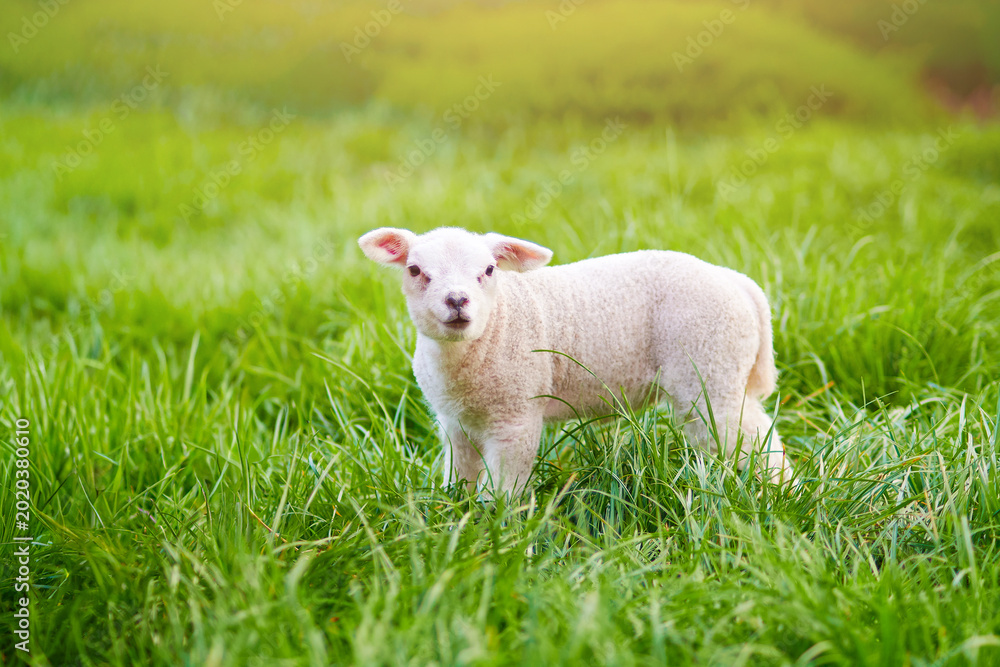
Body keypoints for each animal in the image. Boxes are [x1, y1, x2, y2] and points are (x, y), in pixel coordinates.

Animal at [359, 226, 793, 495]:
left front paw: (500, 529)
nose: (457, 301)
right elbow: (460, 477)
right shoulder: (454, 423)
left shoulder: (516, 416)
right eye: (415, 270)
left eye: (489, 270)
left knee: (756, 437)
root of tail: (737, 282)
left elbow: (503, 487)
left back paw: (779, 493)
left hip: (710, 370)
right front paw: (456, 517)